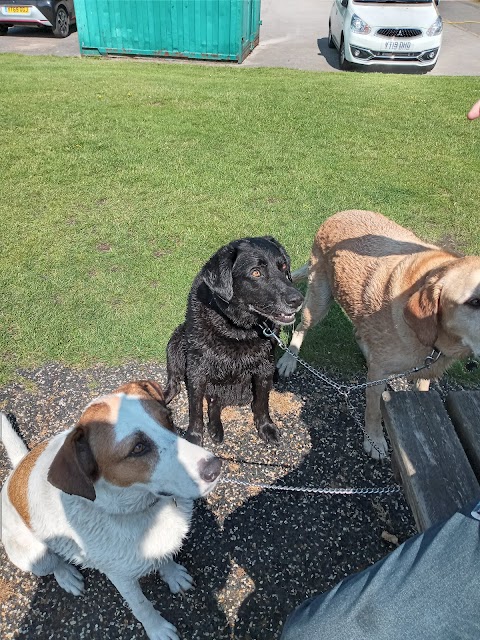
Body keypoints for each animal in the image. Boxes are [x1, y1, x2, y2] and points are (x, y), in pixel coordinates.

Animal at [0, 380, 221, 640]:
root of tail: (16, 471)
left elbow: (165, 557)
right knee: (54, 565)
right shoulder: (121, 577)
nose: (215, 467)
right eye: (138, 448)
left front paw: (173, 575)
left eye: (168, 418)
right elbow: (142, 606)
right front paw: (158, 629)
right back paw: (67, 576)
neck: (140, 508)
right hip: (35, 556)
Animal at [163, 236, 302, 444]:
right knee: (175, 384)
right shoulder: (197, 370)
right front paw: (193, 437)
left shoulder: (265, 369)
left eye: (283, 267)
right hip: (176, 342)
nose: (297, 300)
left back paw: (215, 429)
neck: (236, 328)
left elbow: (262, 403)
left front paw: (266, 427)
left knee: (215, 402)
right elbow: (195, 408)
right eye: (256, 272)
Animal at [276, 212, 480, 458]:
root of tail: (340, 213)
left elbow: (421, 390)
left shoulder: (427, 368)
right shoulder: (379, 375)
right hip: (318, 301)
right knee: (300, 328)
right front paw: (374, 441)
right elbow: (373, 410)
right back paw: (288, 360)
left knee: (359, 333)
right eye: (474, 301)